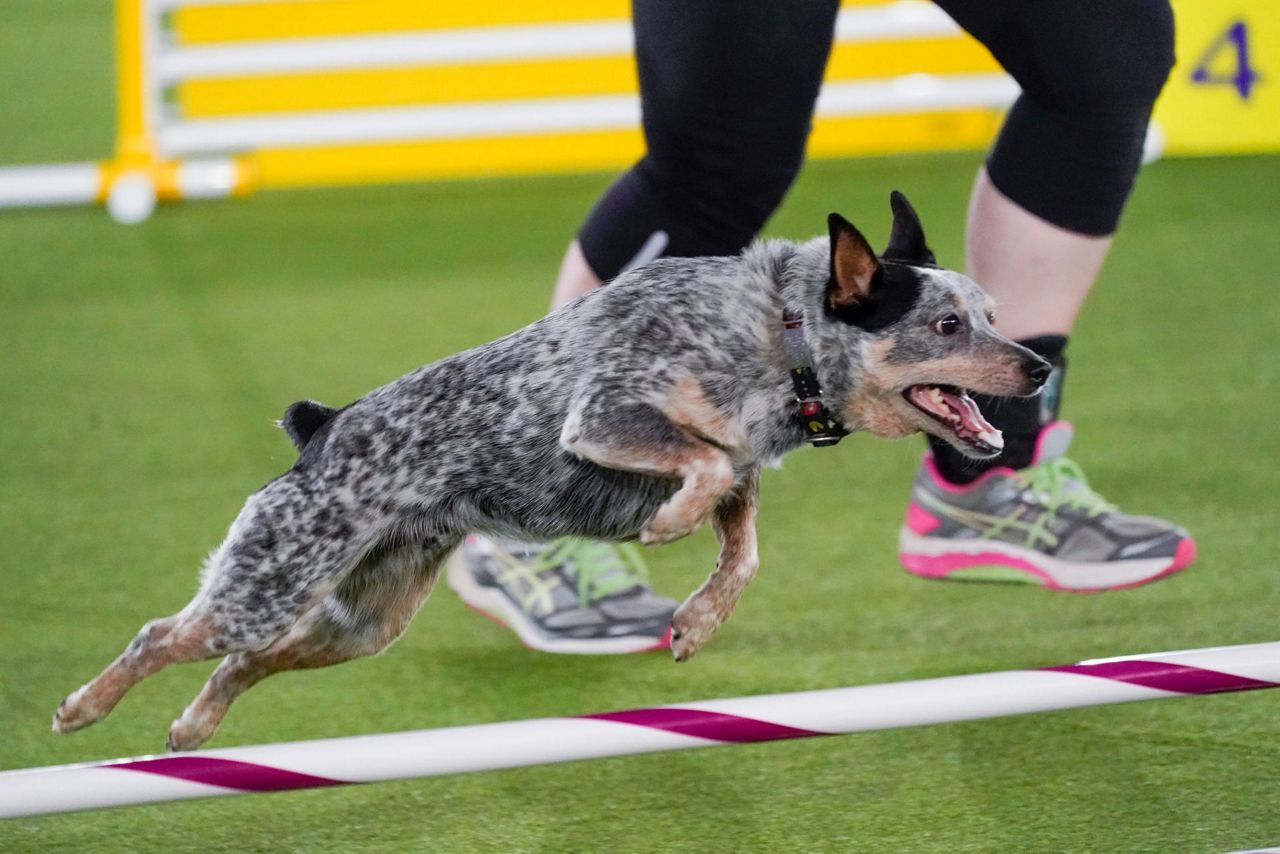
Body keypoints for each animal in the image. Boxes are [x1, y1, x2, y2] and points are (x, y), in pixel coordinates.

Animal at [52, 188, 1049, 747]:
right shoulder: (604, 416)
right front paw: (668, 524)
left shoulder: (745, 465)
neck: (782, 335)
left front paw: (697, 622)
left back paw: (194, 726)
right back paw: (83, 709)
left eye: (993, 314)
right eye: (947, 326)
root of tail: (320, 432)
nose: (1039, 368)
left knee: (243, 663)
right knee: (166, 634)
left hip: (364, 623)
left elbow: (744, 539)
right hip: (271, 578)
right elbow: (703, 468)